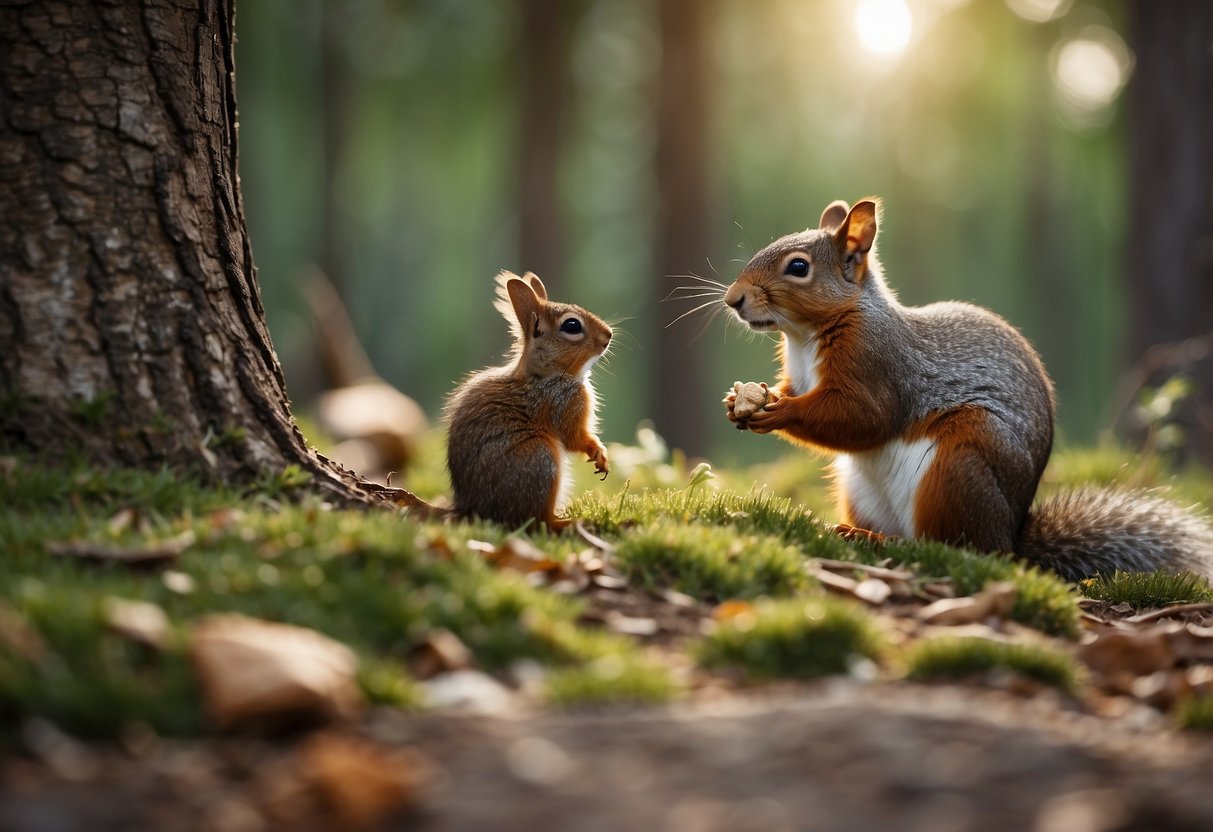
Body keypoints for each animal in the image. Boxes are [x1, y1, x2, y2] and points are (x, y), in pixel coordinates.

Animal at [718, 198, 1213, 584]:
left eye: (798, 267)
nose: (732, 299)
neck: (804, 337)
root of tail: (1010, 536)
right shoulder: (800, 376)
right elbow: (796, 392)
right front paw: (740, 400)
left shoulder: (879, 366)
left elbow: (863, 418)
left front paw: (778, 412)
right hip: (860, 489)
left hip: (961, 462)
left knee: (954, 546)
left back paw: (878, 539)